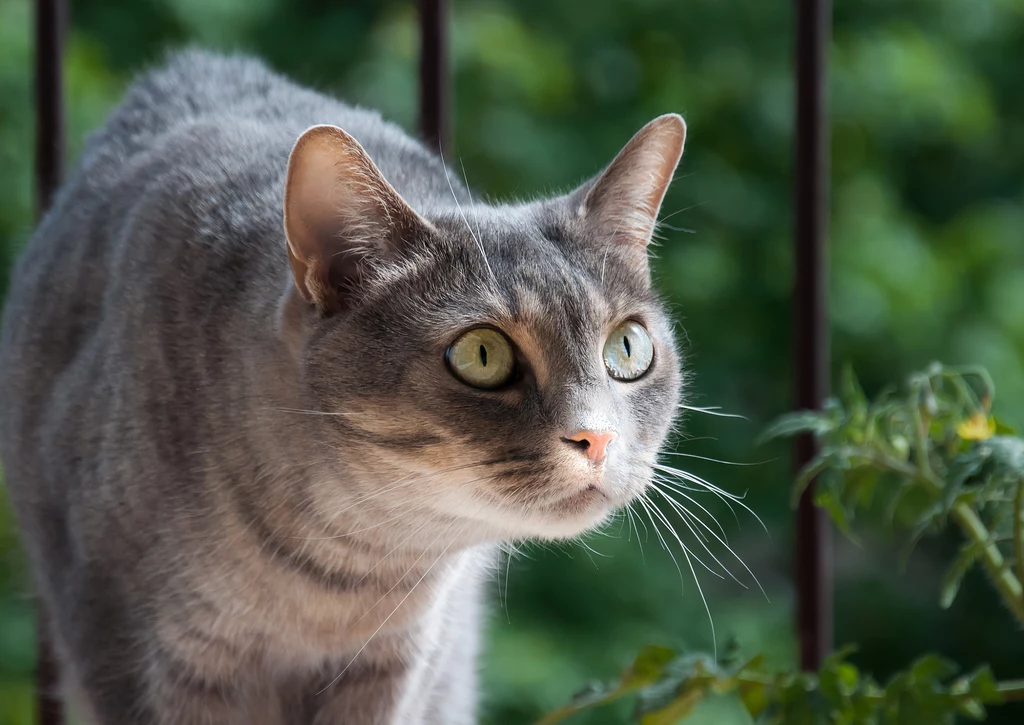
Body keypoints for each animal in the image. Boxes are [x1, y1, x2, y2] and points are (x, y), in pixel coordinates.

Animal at [0, 50, 688, 724]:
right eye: (482, 355)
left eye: (627, 349)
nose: (596, 437)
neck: (343, 574)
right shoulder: (142, 662)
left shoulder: (398, 669)